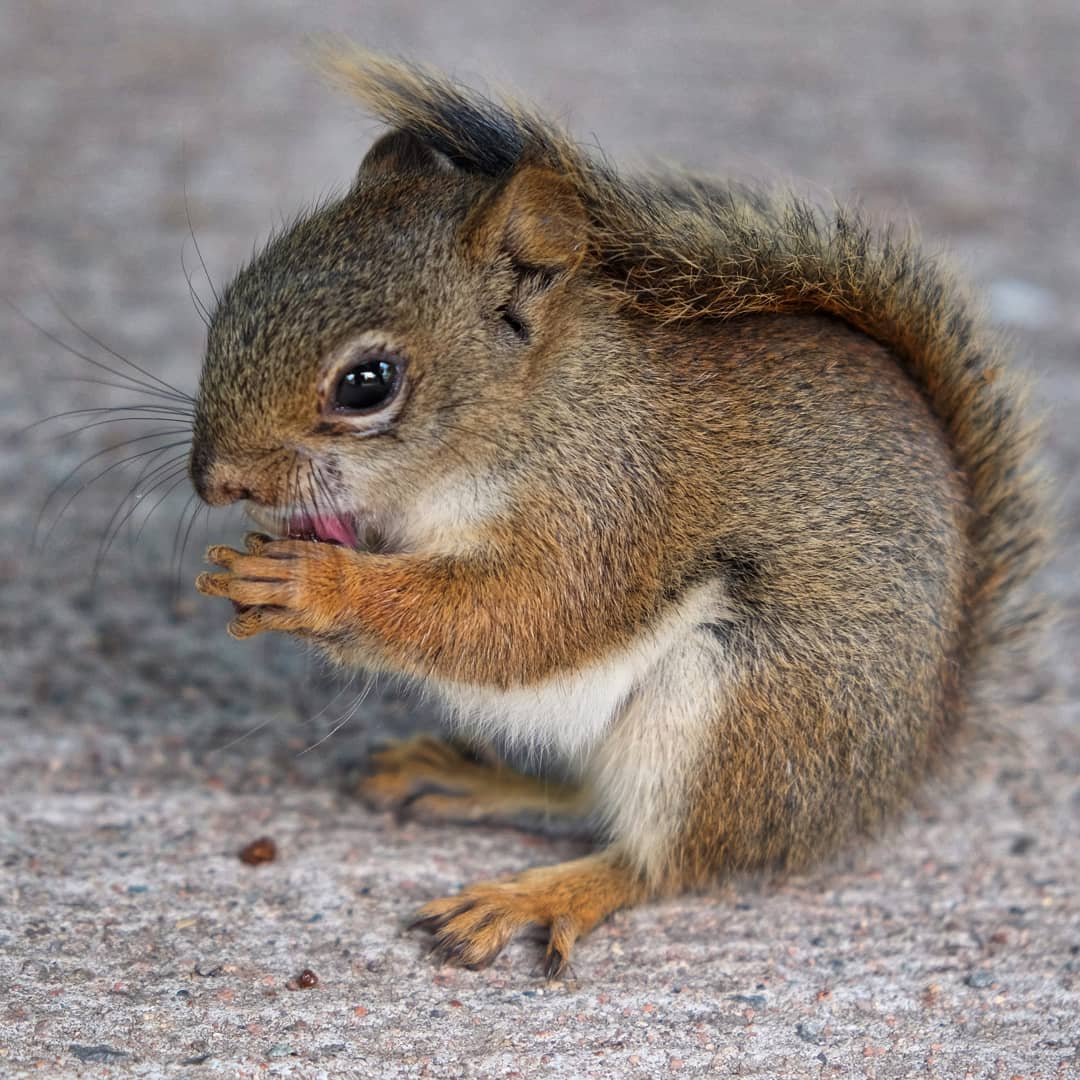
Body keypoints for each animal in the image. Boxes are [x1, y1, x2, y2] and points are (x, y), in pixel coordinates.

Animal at [190, 44, 1041, 980]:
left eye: (366, 383)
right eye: (232, 302)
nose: (215, 482)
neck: (529, 411)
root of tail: (911, 758)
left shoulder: (610, 505)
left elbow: (523, 614)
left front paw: (316, 585)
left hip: (744, 707)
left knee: (658, 861)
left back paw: (539, 894)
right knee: (585, 799)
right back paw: (473, 779)